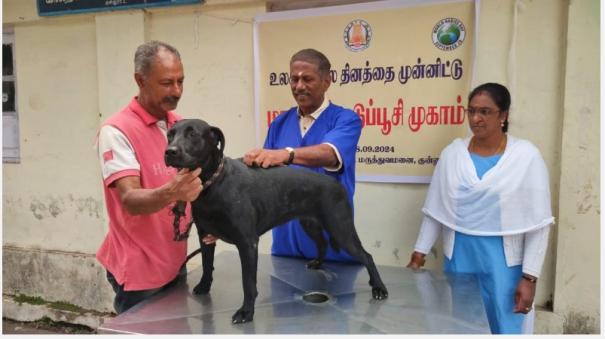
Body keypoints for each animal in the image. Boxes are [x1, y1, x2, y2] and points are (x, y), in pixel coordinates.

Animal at [163, 119, 386, 324]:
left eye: (193, 134)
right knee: (322, 243)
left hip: (340, 229)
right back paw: (318, 262)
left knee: (367, 256)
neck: (212, 183)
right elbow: (207, 265)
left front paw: (246, 311)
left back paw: (379, 288)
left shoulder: (248, 243)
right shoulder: (206, 236)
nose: (169, 152)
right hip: (310, 224)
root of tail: (336, 184)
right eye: (170, 134)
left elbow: (248, 283)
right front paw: (204, 285)